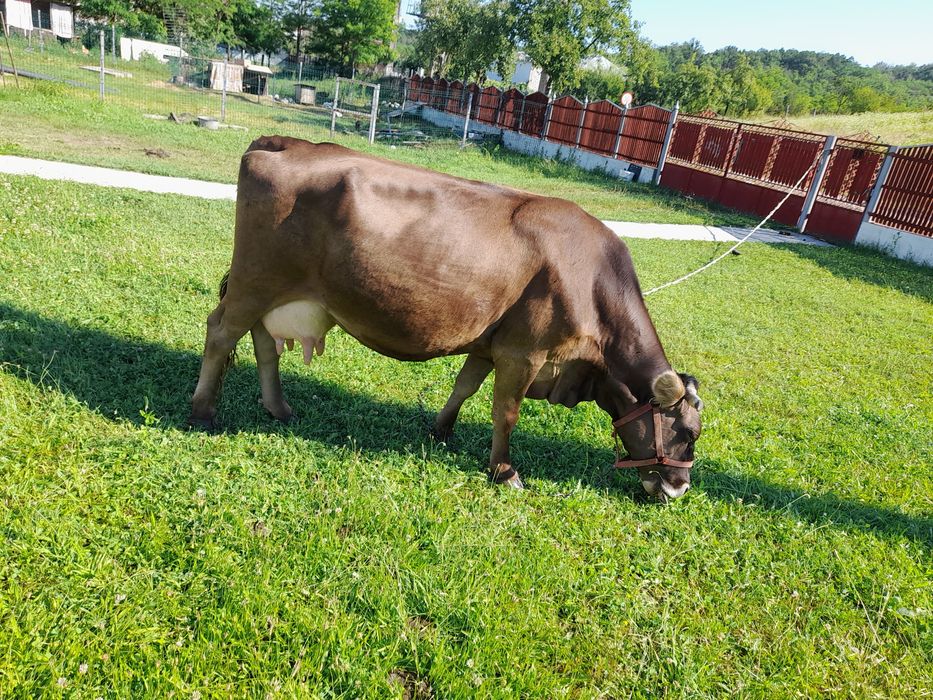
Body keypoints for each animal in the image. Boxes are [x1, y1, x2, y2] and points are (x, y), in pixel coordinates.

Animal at [189, 136, 703, 500]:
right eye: (686, 431)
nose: (679, 488)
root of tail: (283, 142)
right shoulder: (524, 352)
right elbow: (505, 413)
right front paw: (504, 471)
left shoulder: (491, 343)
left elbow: (464, 386)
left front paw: (440, 429)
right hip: (256, 280)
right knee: (221, 332)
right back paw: (202, 412)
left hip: (270, 292)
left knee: (263, 343)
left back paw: (278, 408)